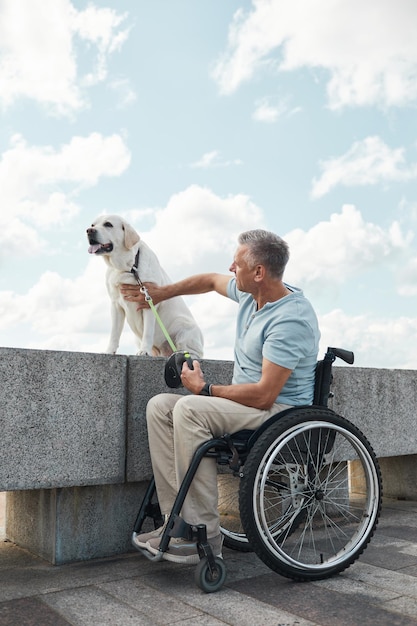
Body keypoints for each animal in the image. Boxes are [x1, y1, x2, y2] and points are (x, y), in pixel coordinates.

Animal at [87, 214, 204, 356]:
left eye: (108, 224)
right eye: (93, 225)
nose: (89, 231)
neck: (129, 267)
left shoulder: (149, 302)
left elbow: (148, 332)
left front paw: (144, 351)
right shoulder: (115, 305)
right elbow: (114, 333)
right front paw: (109, 351)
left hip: (184, 328)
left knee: (193, 353)